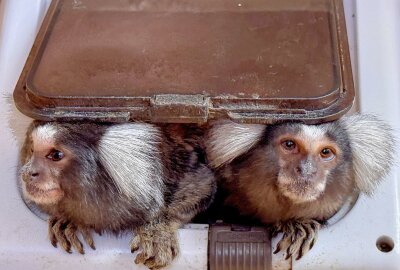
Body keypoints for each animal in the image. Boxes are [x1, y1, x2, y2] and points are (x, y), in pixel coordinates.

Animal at [19, 121, 216, 268]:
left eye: (56, 155)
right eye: (32, 151)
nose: (28, 172)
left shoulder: (182, 171)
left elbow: (203, 187)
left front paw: (157, 231)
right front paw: (68, 221)